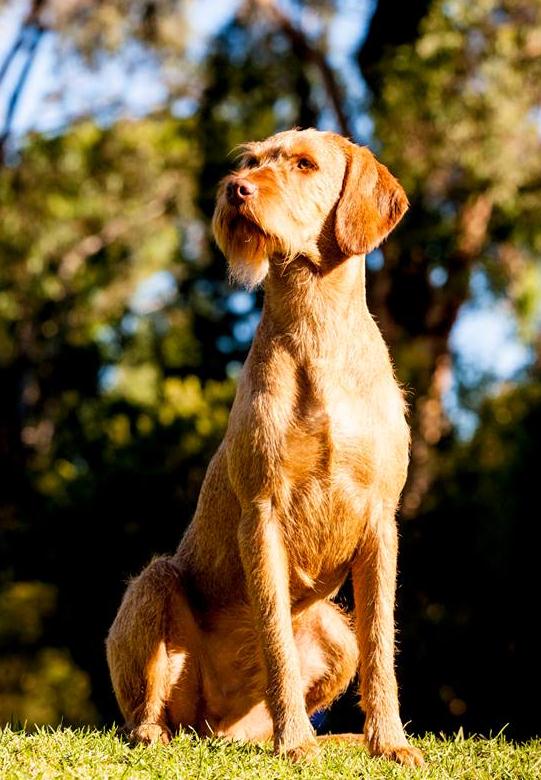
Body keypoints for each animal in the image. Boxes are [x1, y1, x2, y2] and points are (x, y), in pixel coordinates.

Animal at [105, 129, 424, 768]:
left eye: (304, 164)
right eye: (251, 161)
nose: (236, 190)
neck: (318, 326)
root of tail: (220, 727)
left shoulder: (381, 521)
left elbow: (382, 646)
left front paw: (391, 744)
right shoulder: (263, 514)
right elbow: (275, 637)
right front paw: (296, 742)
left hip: (335, 632)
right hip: (154, 583)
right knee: (144, 712)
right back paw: (165, 732)